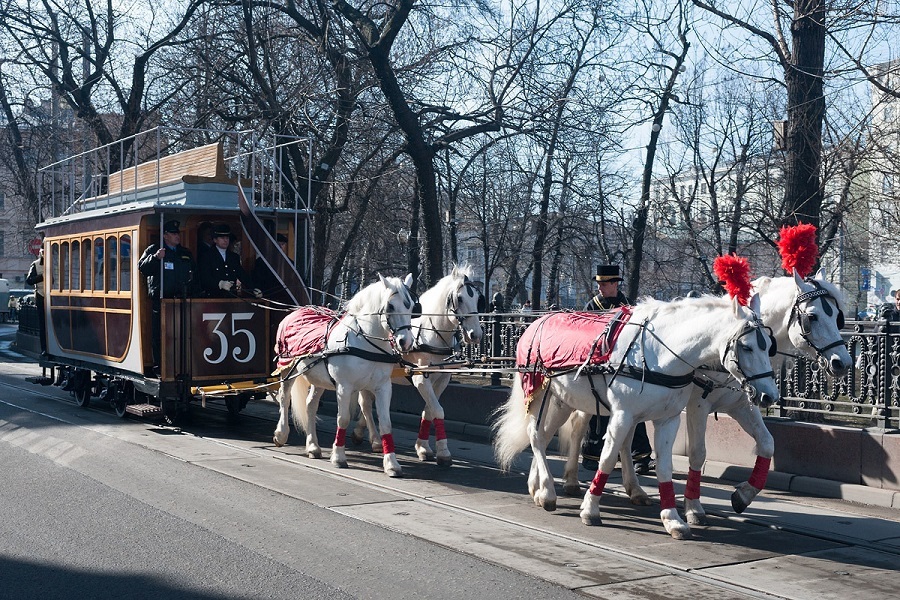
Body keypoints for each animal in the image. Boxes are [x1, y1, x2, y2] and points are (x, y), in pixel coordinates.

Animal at [272, 274, 416, 476]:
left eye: (411, 307)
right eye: (390, 306)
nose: (406, 342)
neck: (365, 341)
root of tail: (296, 311)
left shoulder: (383, 387)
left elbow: (386, 423)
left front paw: (391, 463)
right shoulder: (344, 387)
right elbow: (343, 418)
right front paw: (339, 456)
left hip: (318, 379)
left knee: (310, 405)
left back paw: (312, 446)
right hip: (287, 369)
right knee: (285, 399)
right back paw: (281, 433)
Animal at [350, 264, 482, 466]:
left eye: (476, 298)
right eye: (459, 298)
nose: (476, 334)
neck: (432, 333)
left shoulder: (442, 379)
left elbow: (429, 411)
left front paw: (423, 447)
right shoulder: (421, 379)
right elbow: (438, 410)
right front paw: (443, 452)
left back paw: (359, 430)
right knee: (365, 404)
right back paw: (375, 440)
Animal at [492, 294, 780, 540]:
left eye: (769, 347)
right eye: (747, 346)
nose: (769, 395)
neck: (659, 353)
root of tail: (535, 323)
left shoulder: (669, 419)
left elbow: (664, 467)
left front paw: (673, 519)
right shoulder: (625, 414)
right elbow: (608, 459)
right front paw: (590, 508)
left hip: (562, 401)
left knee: (544, 435)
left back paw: (538, 487)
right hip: (539, 394)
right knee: (536, 437)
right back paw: (549, 492)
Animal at [556, 270, 852, 524]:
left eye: (837, 315)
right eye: (813, 316)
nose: (843, 363)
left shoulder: (742, 404)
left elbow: (767, 444)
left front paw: (743, 495)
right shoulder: (698, 405)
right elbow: (698, 454)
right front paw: (693, 507)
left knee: (624, 439)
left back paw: (634, 489)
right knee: (580, 425)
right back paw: (571, 480)